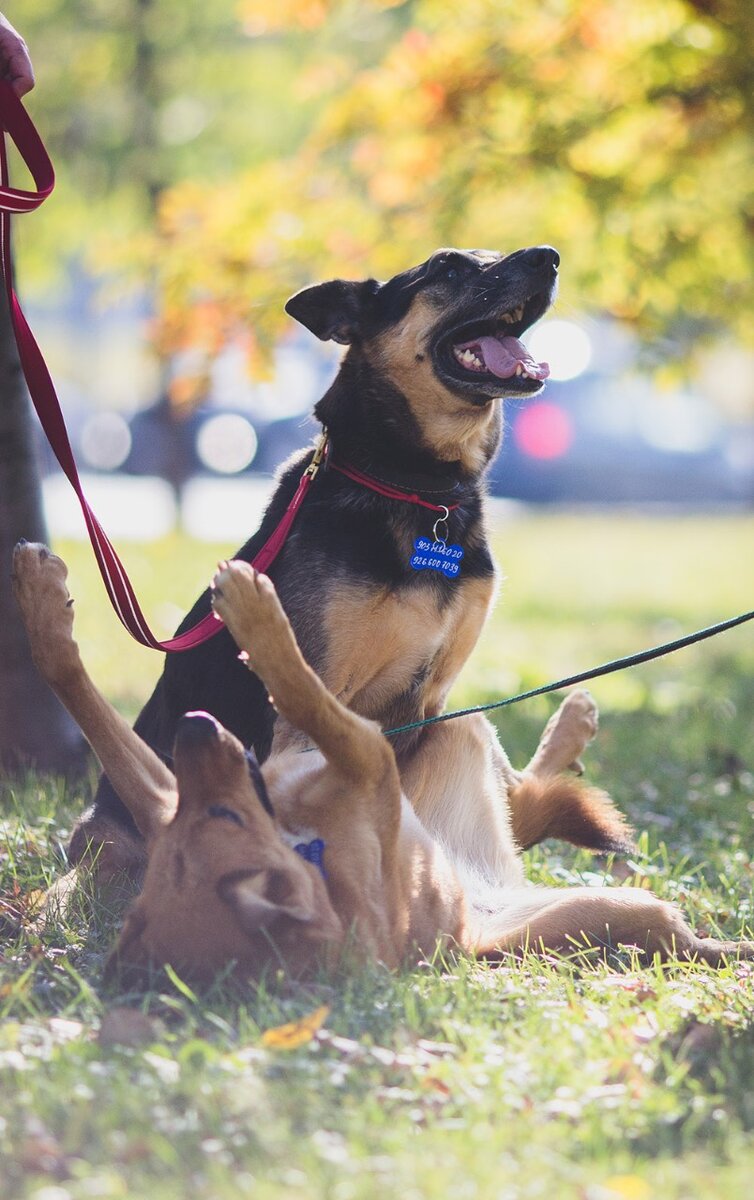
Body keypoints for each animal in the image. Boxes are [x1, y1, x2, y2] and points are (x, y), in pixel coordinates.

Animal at [11, 540, 754, 979]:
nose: (197, 730)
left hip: (446, 739)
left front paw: (40, 605)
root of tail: (488, 910)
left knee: (522, 799)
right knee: (527, 812)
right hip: (618, 905)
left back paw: (572, 727)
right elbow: (299, 687)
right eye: (224, 818)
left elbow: (83, 697)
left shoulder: (173, 790)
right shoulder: (356, 752)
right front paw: (258, 619)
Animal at [67, 243, 633, 888]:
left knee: (520, 798)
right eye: (448, 268)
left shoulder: (429, 706)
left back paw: (574, 724)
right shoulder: (310, 709)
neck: (418, 489)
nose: (548, 257)